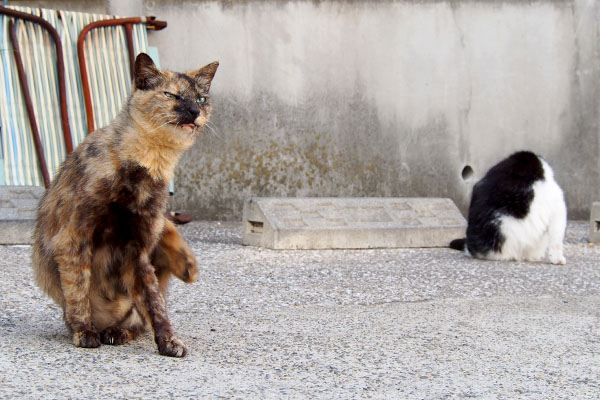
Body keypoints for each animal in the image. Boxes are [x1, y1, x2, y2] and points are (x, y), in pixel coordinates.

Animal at [31, 52, 218, 356]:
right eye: (171, 95)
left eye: (201, 98)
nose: (193, 110)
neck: (147, 162)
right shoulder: (73, 239)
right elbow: (78, 289)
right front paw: (84, 332)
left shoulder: (139, 250)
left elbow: (155, 304)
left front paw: (168, 340)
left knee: (141, 313)